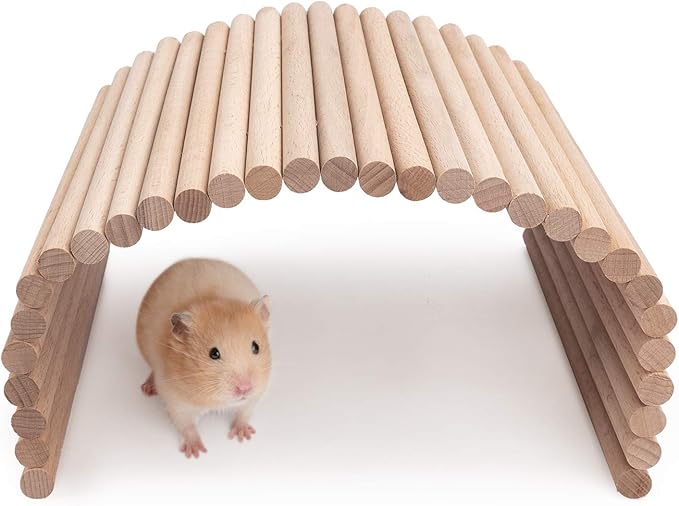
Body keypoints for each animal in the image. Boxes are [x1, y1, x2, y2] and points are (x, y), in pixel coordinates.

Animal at [136, 258, 272, 458]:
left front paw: (243, 436)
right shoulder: (175, 400)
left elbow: (244, 412)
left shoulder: (256, 393)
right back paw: (147, 389)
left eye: (256, 347)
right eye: (213, 354)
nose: (245, 388)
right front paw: (196, 452)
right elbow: (186, 425)